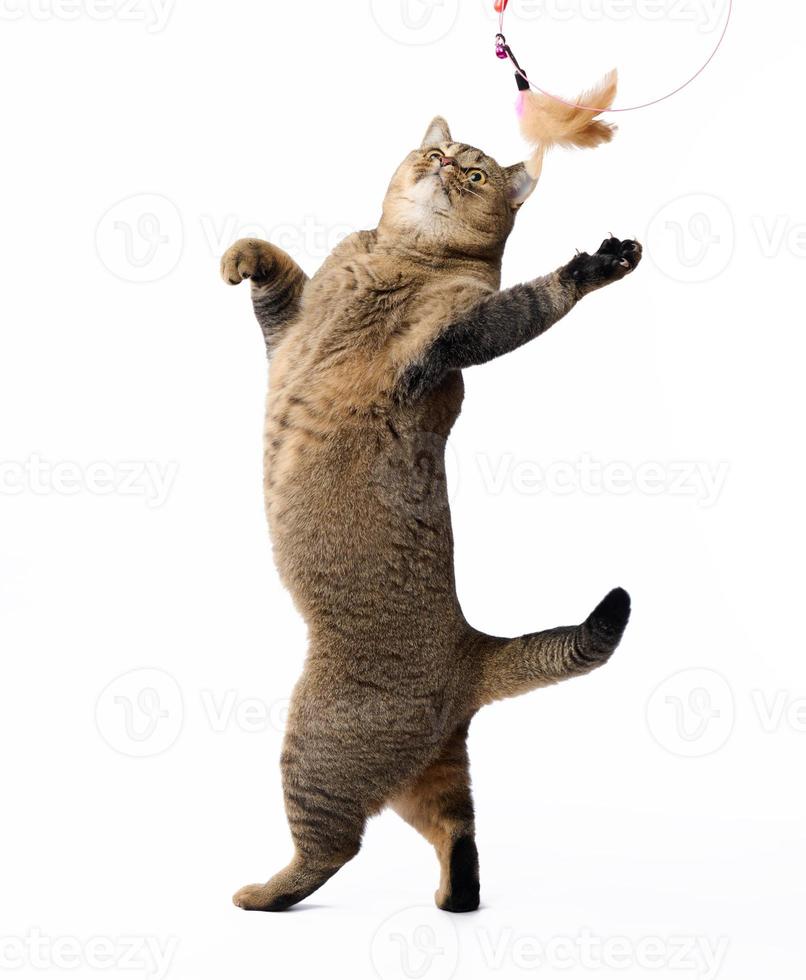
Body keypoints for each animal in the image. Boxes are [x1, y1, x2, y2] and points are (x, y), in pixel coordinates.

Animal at [219, 117, 644, 912]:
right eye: (435, 153)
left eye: (475, 175)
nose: (445, 165)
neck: (399, 253)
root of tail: (471, 648)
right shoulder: (286, 334)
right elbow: (282, 276)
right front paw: (244, 256)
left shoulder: (455, 335)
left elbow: (531, 304)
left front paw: (598, 266)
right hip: (430, 776)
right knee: (460, 832)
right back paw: (454, 899)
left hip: (316, 748)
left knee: (333, 848)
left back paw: (261, 895)